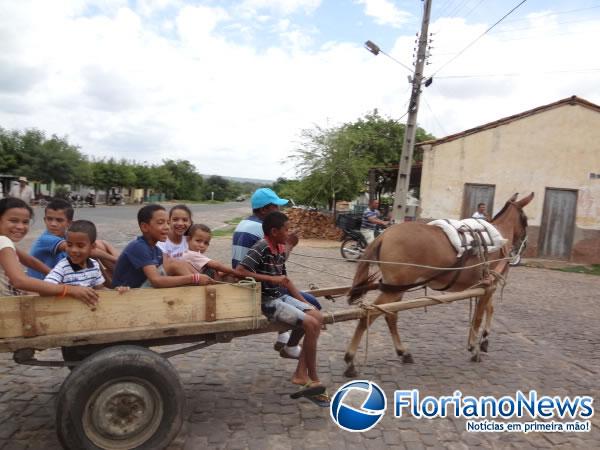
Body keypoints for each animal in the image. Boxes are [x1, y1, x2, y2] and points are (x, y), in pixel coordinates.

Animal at [342, 191, 536, 376]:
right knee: (369, 315)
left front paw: (484, 340)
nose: (524, 244)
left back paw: (403, 352)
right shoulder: (487, 286)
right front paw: (474, 347)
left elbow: (490, 309)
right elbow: (479, 317)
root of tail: (384, 236)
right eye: (525, 220)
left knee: (390, 316)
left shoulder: (487, 286)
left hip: (397, 288)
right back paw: (350, 359)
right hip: (394, 290)